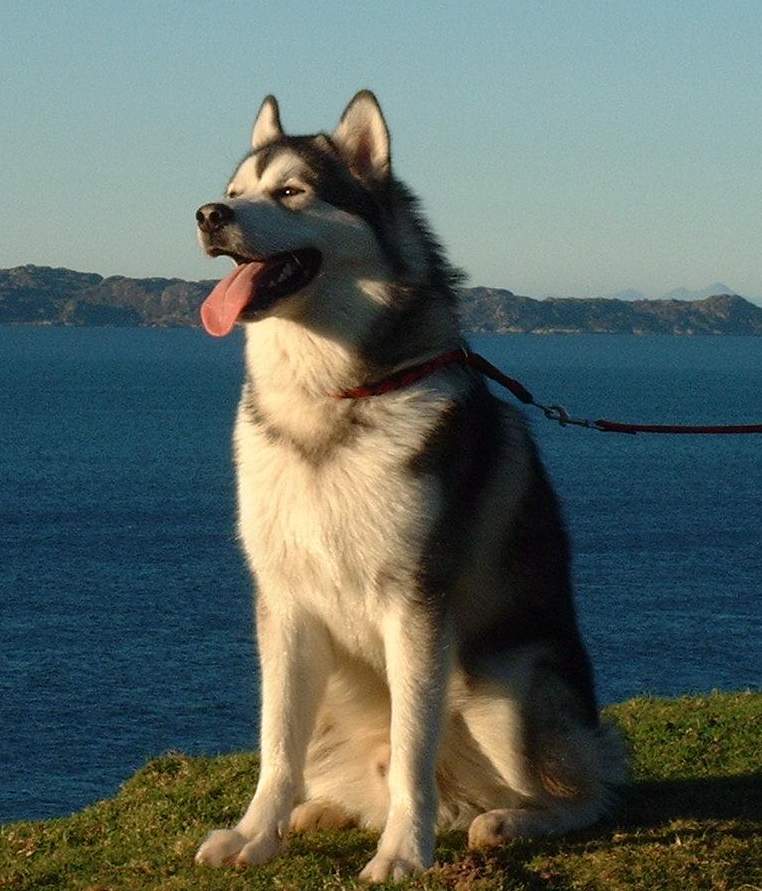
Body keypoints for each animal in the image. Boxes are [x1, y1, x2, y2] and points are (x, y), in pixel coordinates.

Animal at [193, 91, 626, 883]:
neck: (331, 396)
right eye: (235, 191)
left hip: (505, 688)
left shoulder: (415, 599)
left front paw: (401, 852)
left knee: (587, 788)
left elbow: (412, 750)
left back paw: (507, 821)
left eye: (290, 192)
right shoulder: (285, 605)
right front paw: (256, 834)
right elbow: (276, 747)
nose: (209, 214)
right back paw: (321, 811)